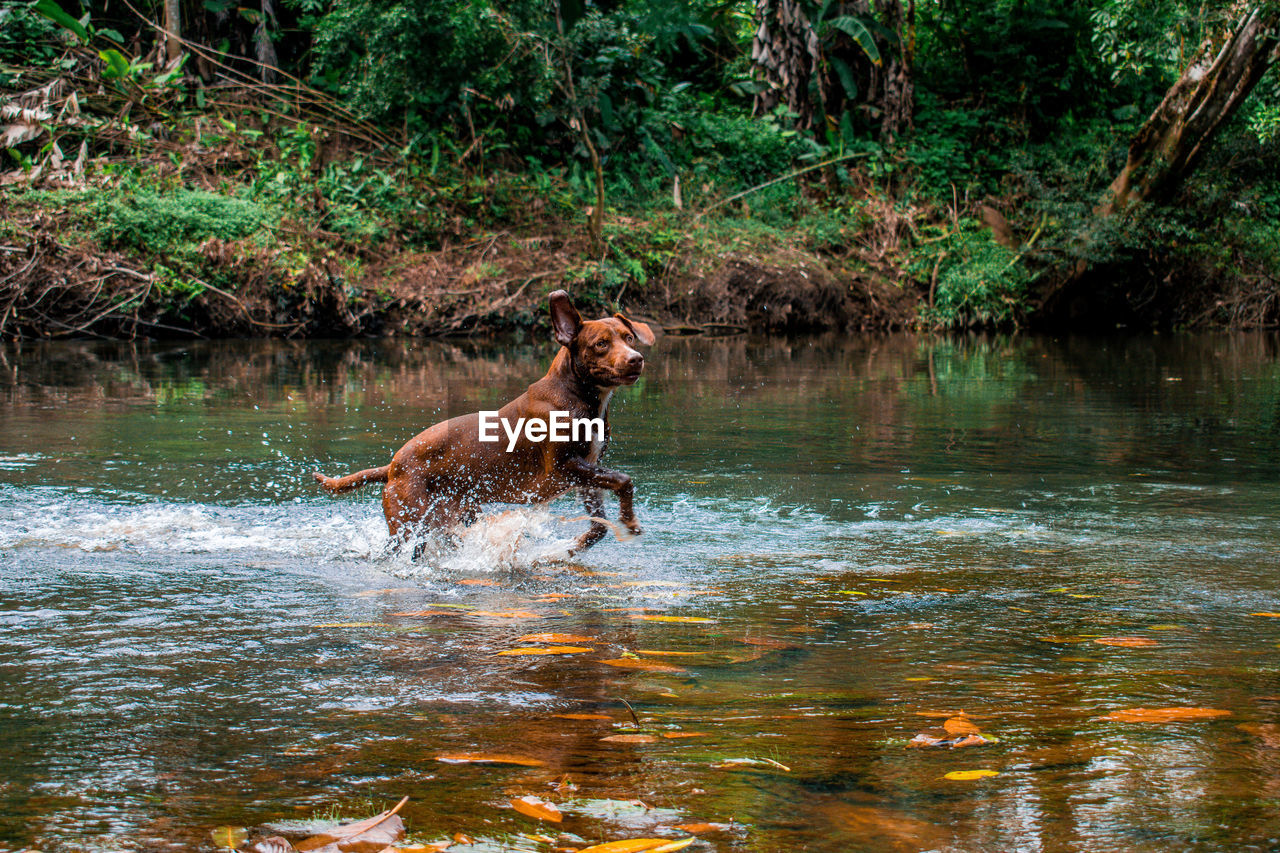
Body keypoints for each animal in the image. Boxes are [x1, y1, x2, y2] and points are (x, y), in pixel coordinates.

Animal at [308, 289, 650, 555]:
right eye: (601, 344)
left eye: (629, 338)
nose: (636, 359)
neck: (577, 394)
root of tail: (393, 466)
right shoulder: (563, 468)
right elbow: (623, 478)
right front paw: (630, 522)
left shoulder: (586, 472)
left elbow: (599, 526)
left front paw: (569, 549)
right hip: (409, 523)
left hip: (453, 516)